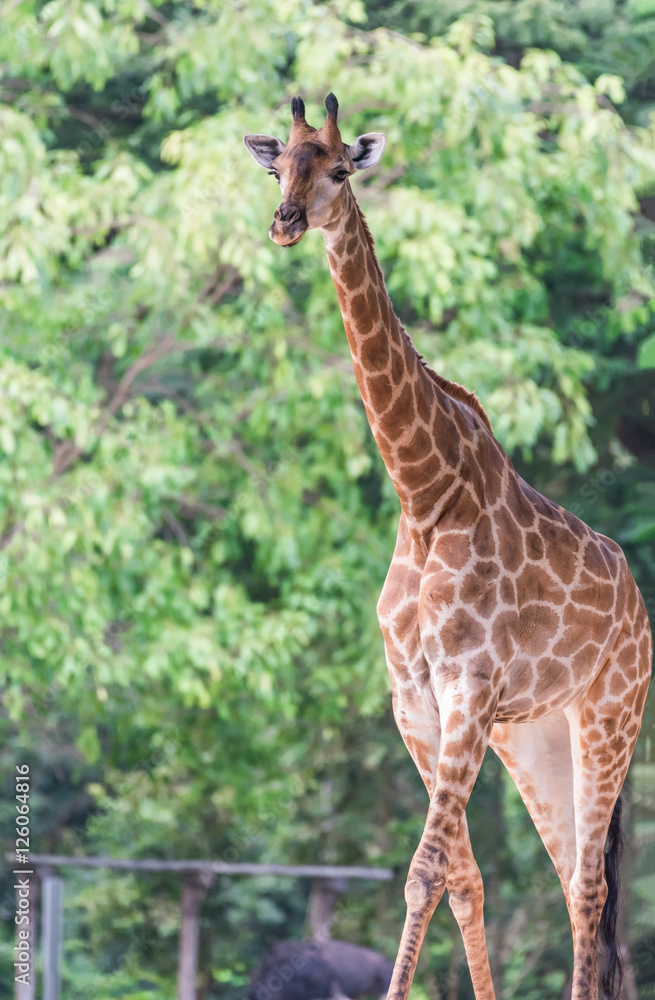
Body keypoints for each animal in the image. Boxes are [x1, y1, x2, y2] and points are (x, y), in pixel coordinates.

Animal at [244, 94, 652, 1000]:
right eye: (277, 164)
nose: (287, 223)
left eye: (339, 169)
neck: (422, 493)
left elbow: (425, 868)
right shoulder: (415, 698)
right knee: (571, 875)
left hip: (608, 715)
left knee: (589, 884)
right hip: (531, 738)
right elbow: (460, 875)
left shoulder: (467, 684)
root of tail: (639, 610)